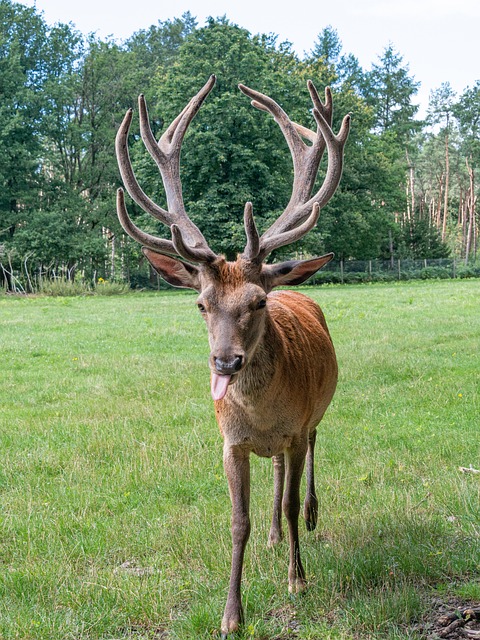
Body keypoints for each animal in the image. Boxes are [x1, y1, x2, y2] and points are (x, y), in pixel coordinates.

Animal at [116, 75, 348, 636]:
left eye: (257, 302)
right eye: (201, 303)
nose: (225, 363)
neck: (260, 418)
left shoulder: (293, 428)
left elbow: (290, 501)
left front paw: (298, 579)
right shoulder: (230, 443)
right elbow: (238, 521)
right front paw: (231, 614)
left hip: (317, 413)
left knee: (308, 460)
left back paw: (309, 518)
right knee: (277, 478)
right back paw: (272, 537)